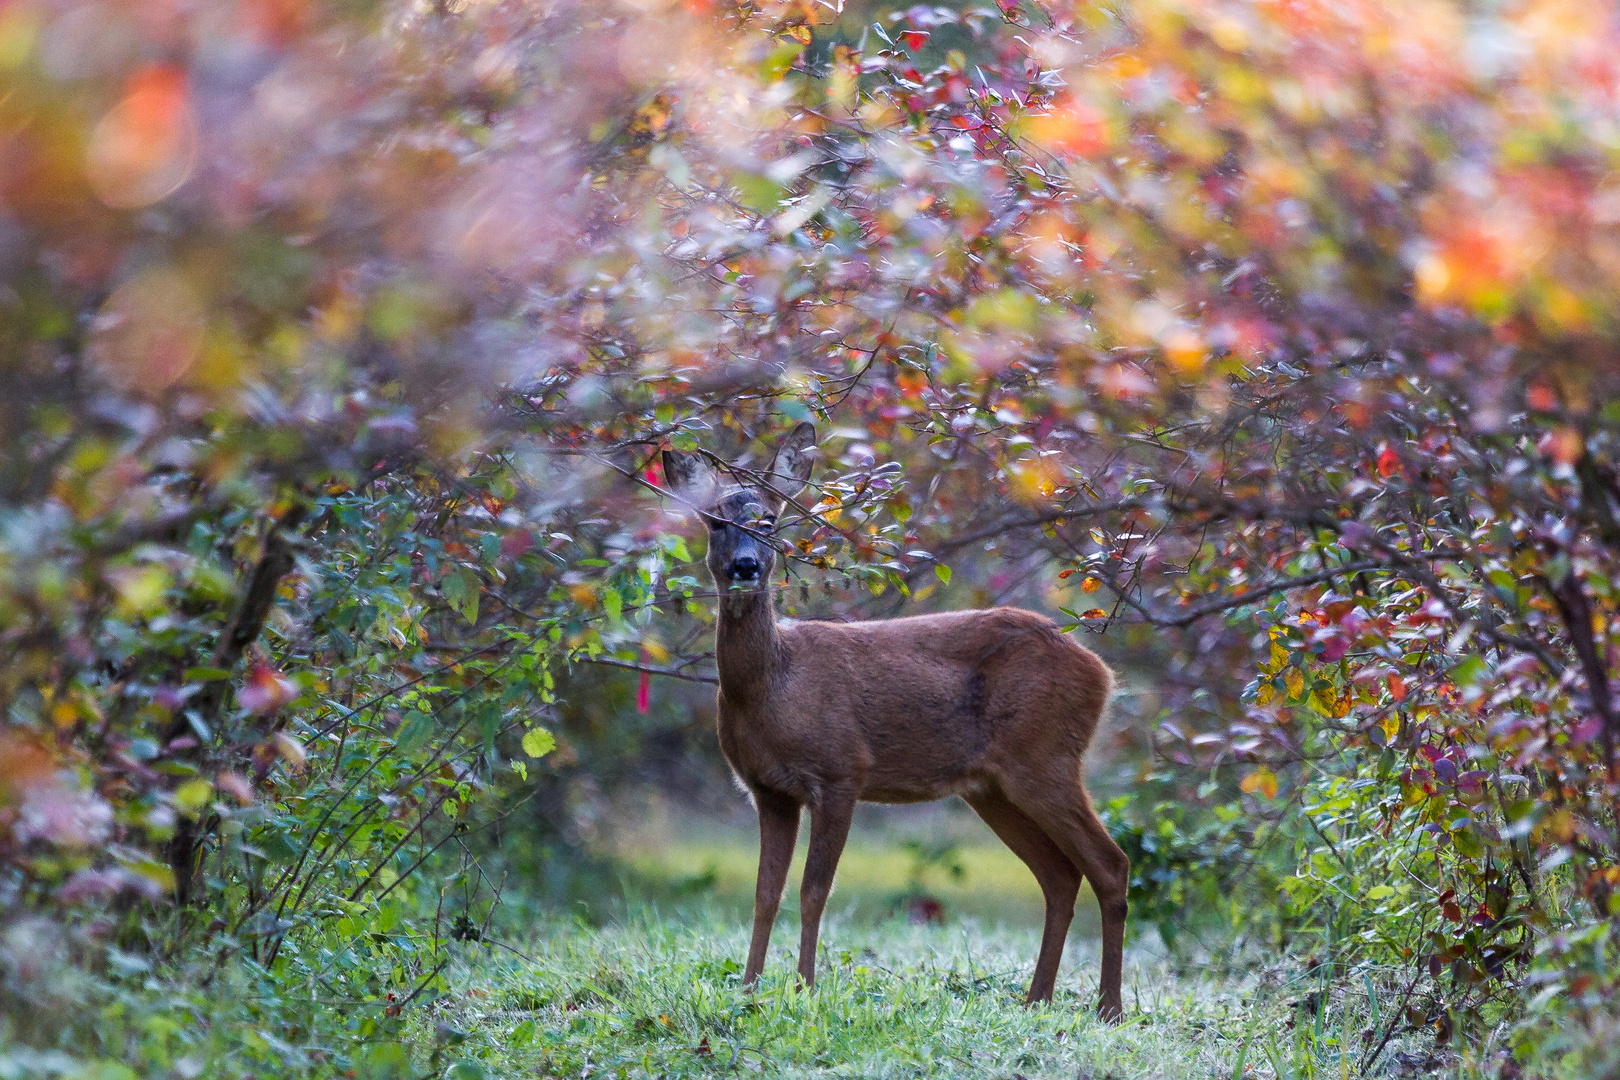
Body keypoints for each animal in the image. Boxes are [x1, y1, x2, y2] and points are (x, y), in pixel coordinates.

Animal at [664, 420, 1134, 1023]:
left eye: (768, 521)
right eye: (716, 522)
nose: (746, 566)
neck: (776, 688)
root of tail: (1102, 673)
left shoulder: (842, 770)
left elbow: (814, 890)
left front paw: (805, 988)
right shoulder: (768, 790)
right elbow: (765, 893)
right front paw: (748, 992)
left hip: (1045, 756)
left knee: (1110, 864)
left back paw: (1109, 1009)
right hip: (992, 786)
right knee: (1059, 874)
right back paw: (1037, 1000)